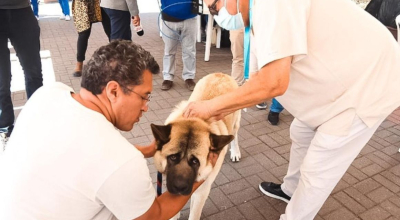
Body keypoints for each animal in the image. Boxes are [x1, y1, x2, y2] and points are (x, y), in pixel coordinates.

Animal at [150, 72, 241, 220]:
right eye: (173, 157)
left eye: (195, 161)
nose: (179, 187)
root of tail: (221, 74)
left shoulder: (201, 192)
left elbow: (194, 214)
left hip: (235, 124)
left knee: (235, 136)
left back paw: (235, 152)